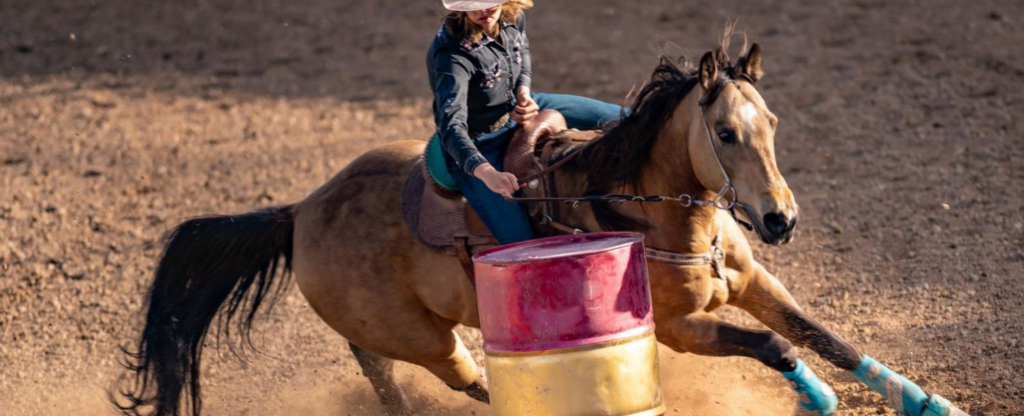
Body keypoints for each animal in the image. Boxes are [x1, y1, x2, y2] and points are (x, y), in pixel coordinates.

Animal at [116, 31, 962, 416]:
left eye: (774, 123)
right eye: (725, 132)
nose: (780, 218)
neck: (650, 210)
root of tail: (300, 211)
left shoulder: (755, 280)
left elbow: (827, 337)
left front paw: (928, 402)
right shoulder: (678, 330)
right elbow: (779, 347)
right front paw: (817, 401)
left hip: (397, 334)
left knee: (382, 370)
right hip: (429, 339)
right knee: (469, 379)